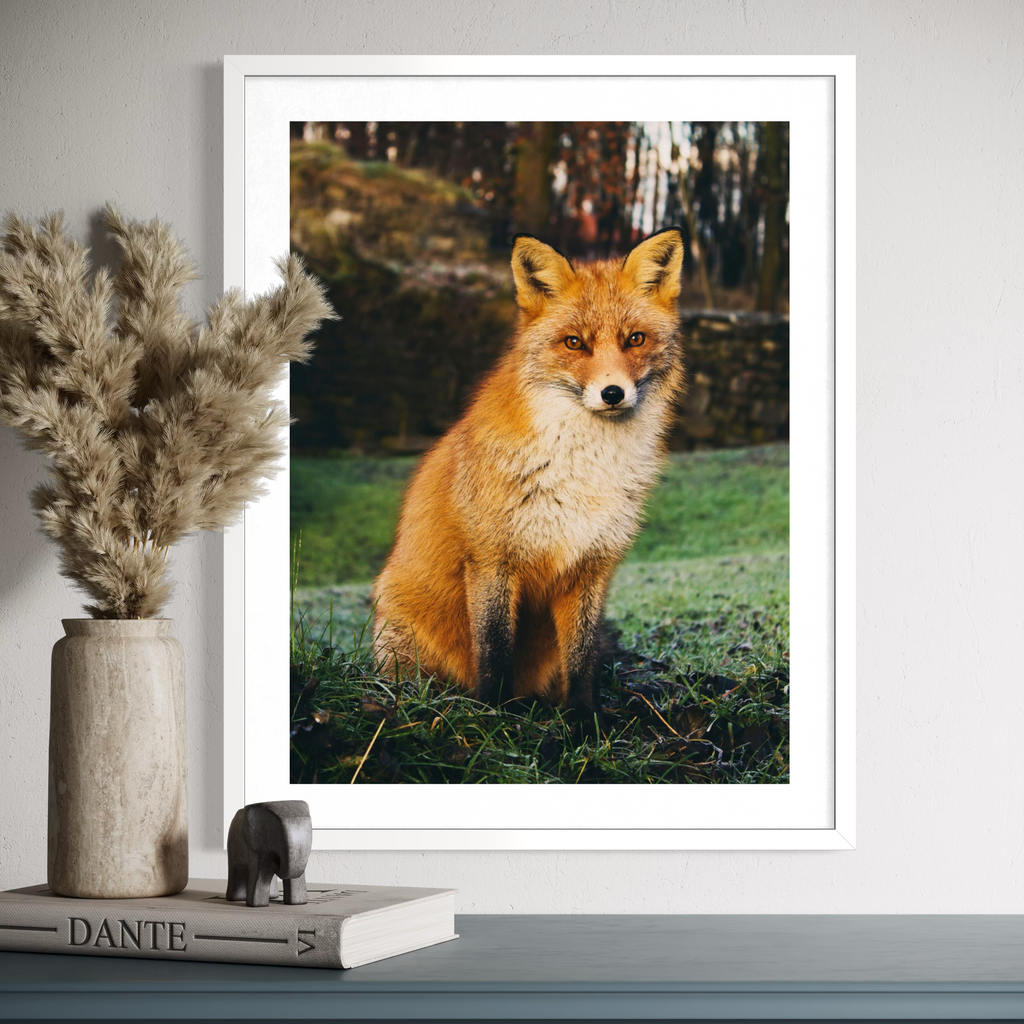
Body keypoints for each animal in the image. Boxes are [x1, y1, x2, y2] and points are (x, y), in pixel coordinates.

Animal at [372, 228, 685, 715]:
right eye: (574, 343)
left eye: (635, 339)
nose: (613, 393)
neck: (583, 471)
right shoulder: (491, 561)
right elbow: (495, 652)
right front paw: (494, 716)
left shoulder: (591, 567)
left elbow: (582, 659)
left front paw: (583, 720)